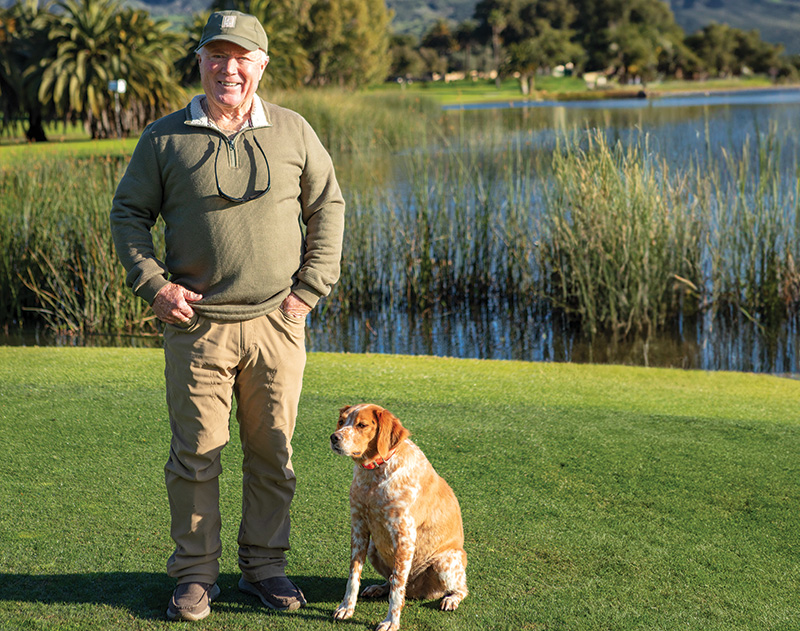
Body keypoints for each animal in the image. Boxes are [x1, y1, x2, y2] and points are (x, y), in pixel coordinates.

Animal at [330, 404, 468, 631]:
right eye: (341, 422)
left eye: (362, 425)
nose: (334, 437)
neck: (375, 473)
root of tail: (415, 592)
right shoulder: (358, 527)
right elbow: (354, 575)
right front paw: (346, 607)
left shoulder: (404, 535)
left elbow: (396, 588)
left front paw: (391, 622)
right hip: (373, 548)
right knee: (392, 580)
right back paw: (378, 588)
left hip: (445, 561)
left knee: (460, 588)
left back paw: (451, 599)